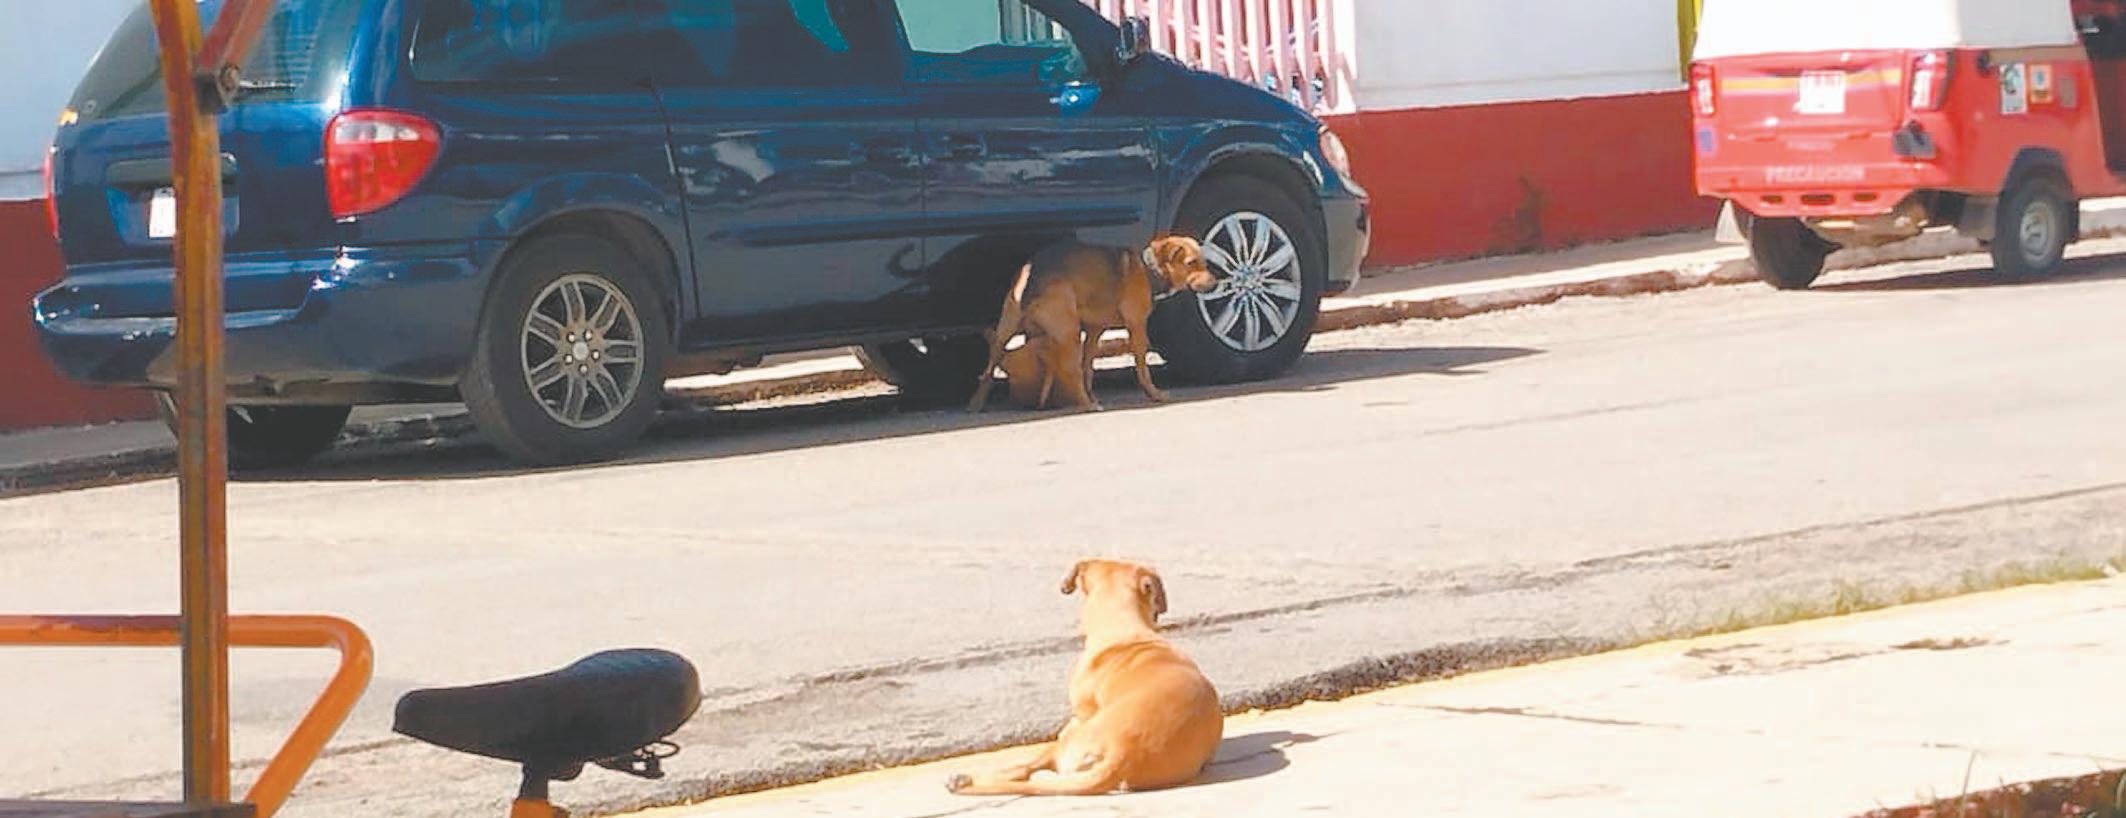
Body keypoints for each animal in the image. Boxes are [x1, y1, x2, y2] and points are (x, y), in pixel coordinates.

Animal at [946, 559, 1223, 797]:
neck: (1123, 627)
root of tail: (1123, 755)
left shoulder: (1079, 714)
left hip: (1067, 739)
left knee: (1024, 770)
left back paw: (966, 780)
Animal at [967, 237, 1218, 413]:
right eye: (1191, 263)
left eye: (1205, 262)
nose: (1217, 284)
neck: (1150, 269)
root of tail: (1032, 277)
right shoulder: (1136, 326)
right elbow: (1142, 368)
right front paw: (1154, 394)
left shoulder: (1095, 330)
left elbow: (1088, 367)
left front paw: (1092, 393)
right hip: (1069, 331)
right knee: (1069, 369)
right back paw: (1087, 405)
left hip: (1007, 328)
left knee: (990, 368)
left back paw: (976, 403)